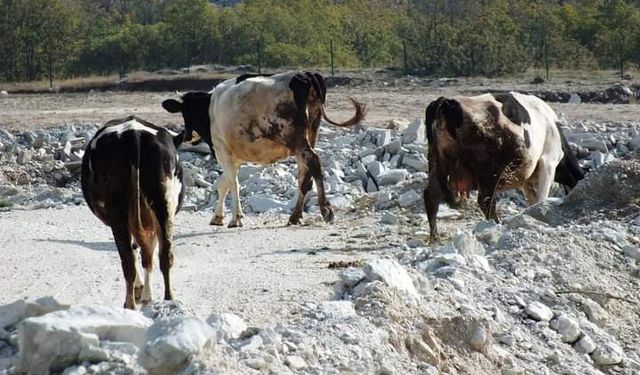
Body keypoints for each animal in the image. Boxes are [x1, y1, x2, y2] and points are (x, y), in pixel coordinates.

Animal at [81, 116, 184, 310]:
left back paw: (130, 303)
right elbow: (147, 254)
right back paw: (169, 300)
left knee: (128, 260)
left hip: (119, 212)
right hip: (163, 203)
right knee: (164, 255)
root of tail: (133, 134)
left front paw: (142, 292)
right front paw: (146, 294)